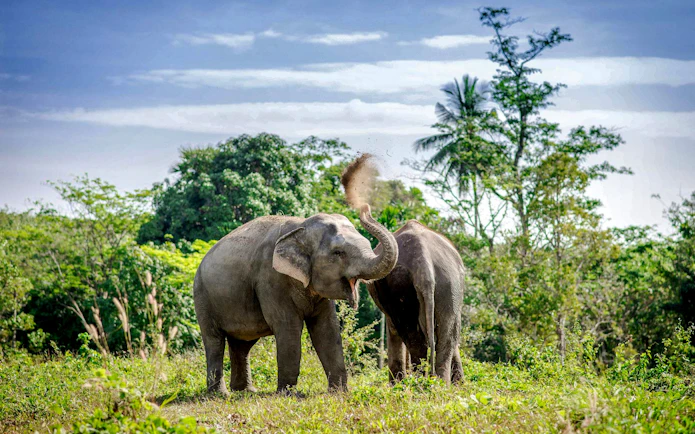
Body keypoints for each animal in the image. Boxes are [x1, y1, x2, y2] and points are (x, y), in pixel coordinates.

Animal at [193, 204, 397, 395]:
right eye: (338, 253)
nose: (365, 208)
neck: (301, 226)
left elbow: (327, 330)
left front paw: (339, 392)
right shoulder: (271, 279)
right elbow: (288, 327)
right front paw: (288, 394)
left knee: (242, 344)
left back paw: (246, 391)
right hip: (203, 297)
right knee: (214, 341)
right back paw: (221, 394)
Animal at [367, 220, 465, 384]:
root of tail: (423, 263)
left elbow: (393, 329)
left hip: (401, 285)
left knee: (414, 338)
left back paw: (418, 384)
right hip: (450, 284)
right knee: (447, 337)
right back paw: (438, 385)